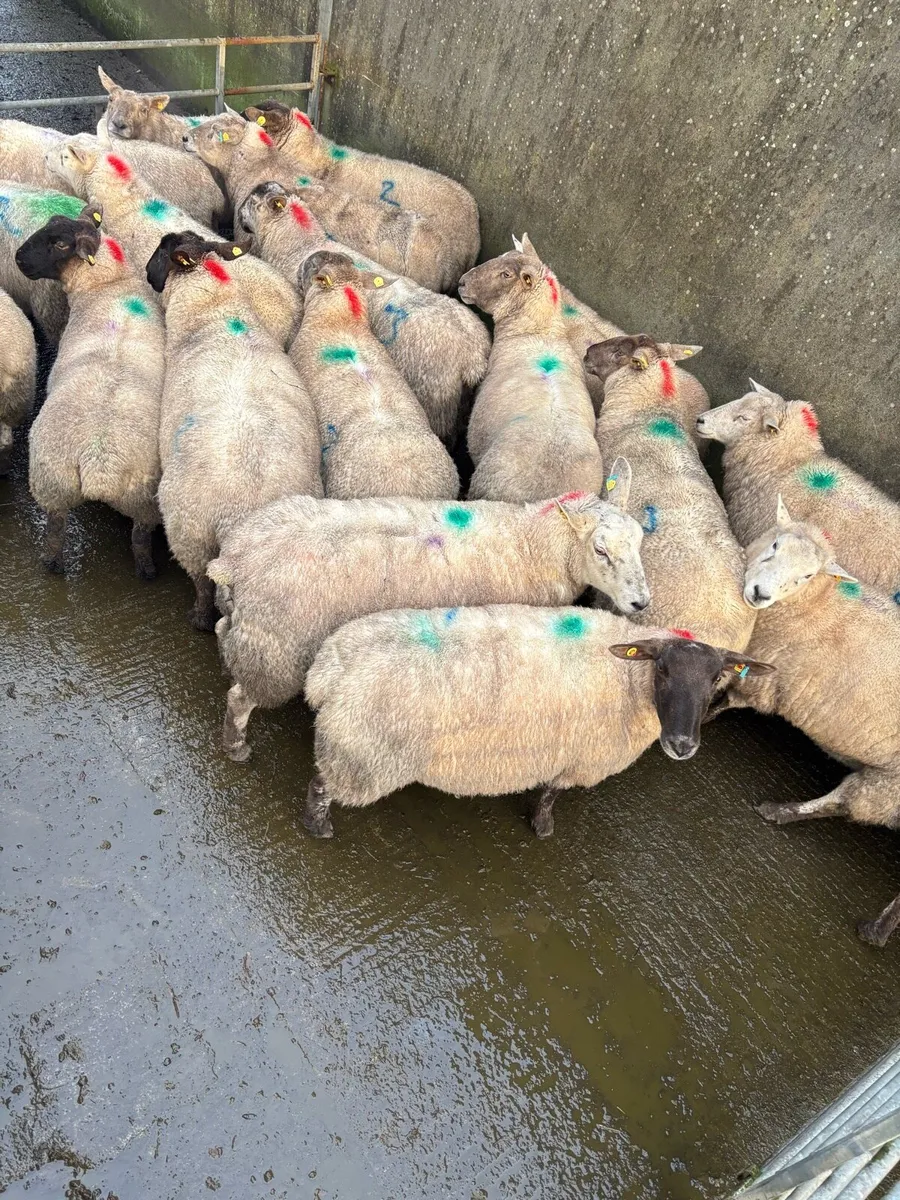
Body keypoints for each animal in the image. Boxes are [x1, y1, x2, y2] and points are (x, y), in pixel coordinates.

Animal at [15, 207, 164, 576]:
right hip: (109, 496)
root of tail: (99, 464)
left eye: (60, 244)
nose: (18, 258)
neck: (110, 284)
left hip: (53, 485)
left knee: (58, 531)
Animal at [147, 231, 322, 630]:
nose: (147, 274)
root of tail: (238, 515)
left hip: (189, 533)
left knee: (200, 583)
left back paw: (198, 620)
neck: (217, 313)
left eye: (162, 250)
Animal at [207, 467, 649, 763]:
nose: (641, 603)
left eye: (640, 541)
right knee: (240, 698)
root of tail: (234, 561)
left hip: (250, 629)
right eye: (601, 550)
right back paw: (236, 747)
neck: (531, 546)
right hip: (275, 650)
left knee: (221, 628)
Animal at [302, 606, 774, 838]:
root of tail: (329, 671)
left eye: (717, 679)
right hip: (363, 756)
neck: (626, 678)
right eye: (663, 670)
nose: (681, 744)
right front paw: (543, 830)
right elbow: (550, 794)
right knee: (320, 786)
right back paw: (319, 829)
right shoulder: (575, 756)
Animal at [720, 498, 900, 945]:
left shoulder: (761, 677)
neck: (814, 604)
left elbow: (726, 700)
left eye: (805, 576)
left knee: (845, 801)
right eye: (775, 545)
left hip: (892, 783)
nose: (760, 593)